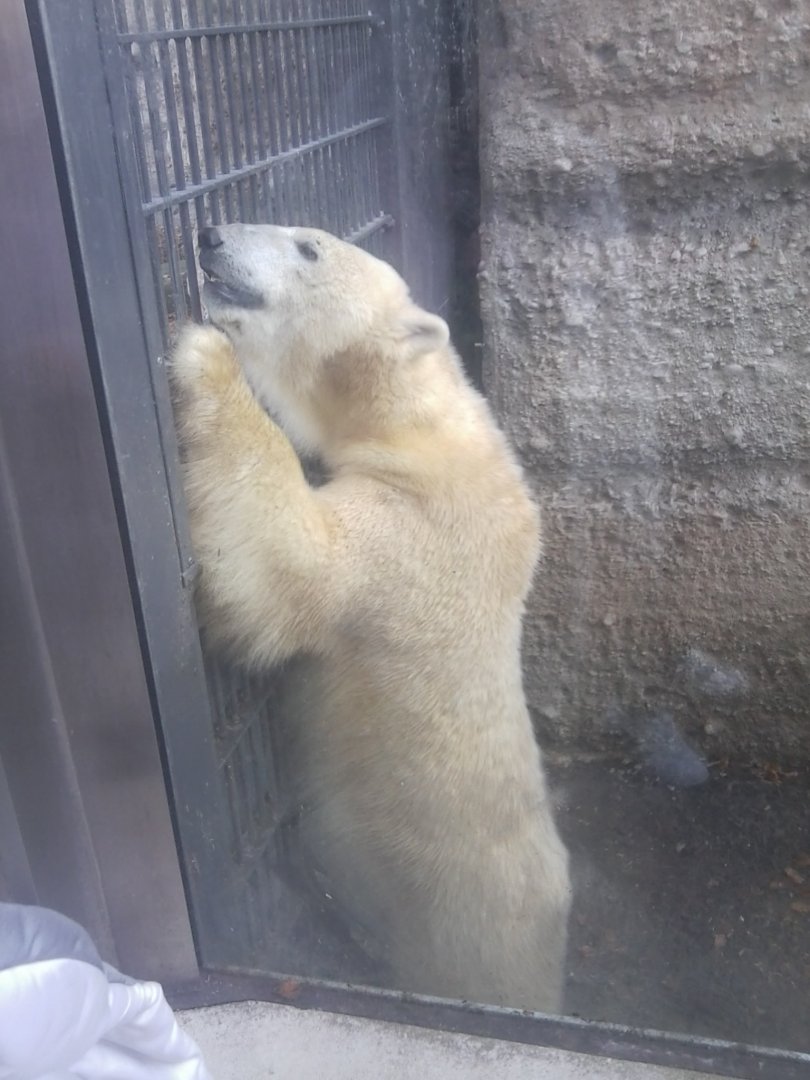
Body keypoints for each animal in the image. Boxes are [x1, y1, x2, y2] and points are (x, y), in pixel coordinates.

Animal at [169, 223, 571, 1013]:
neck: (420, 423)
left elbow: (289, 564)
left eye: (307, 246)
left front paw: (206, 354)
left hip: (460, 925)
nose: (210, 234)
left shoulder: (418, 526)